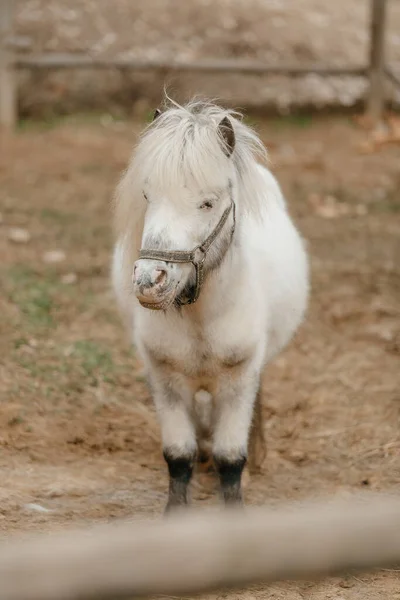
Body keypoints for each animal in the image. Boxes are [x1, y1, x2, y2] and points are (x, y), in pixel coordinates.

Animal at [112, 98, 310, 510]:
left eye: (208, 203)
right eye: (147, 197)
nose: (149, 282)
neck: (200, 317)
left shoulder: (239, 378)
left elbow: (230, 459)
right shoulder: (165, 378)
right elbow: (178, 456)